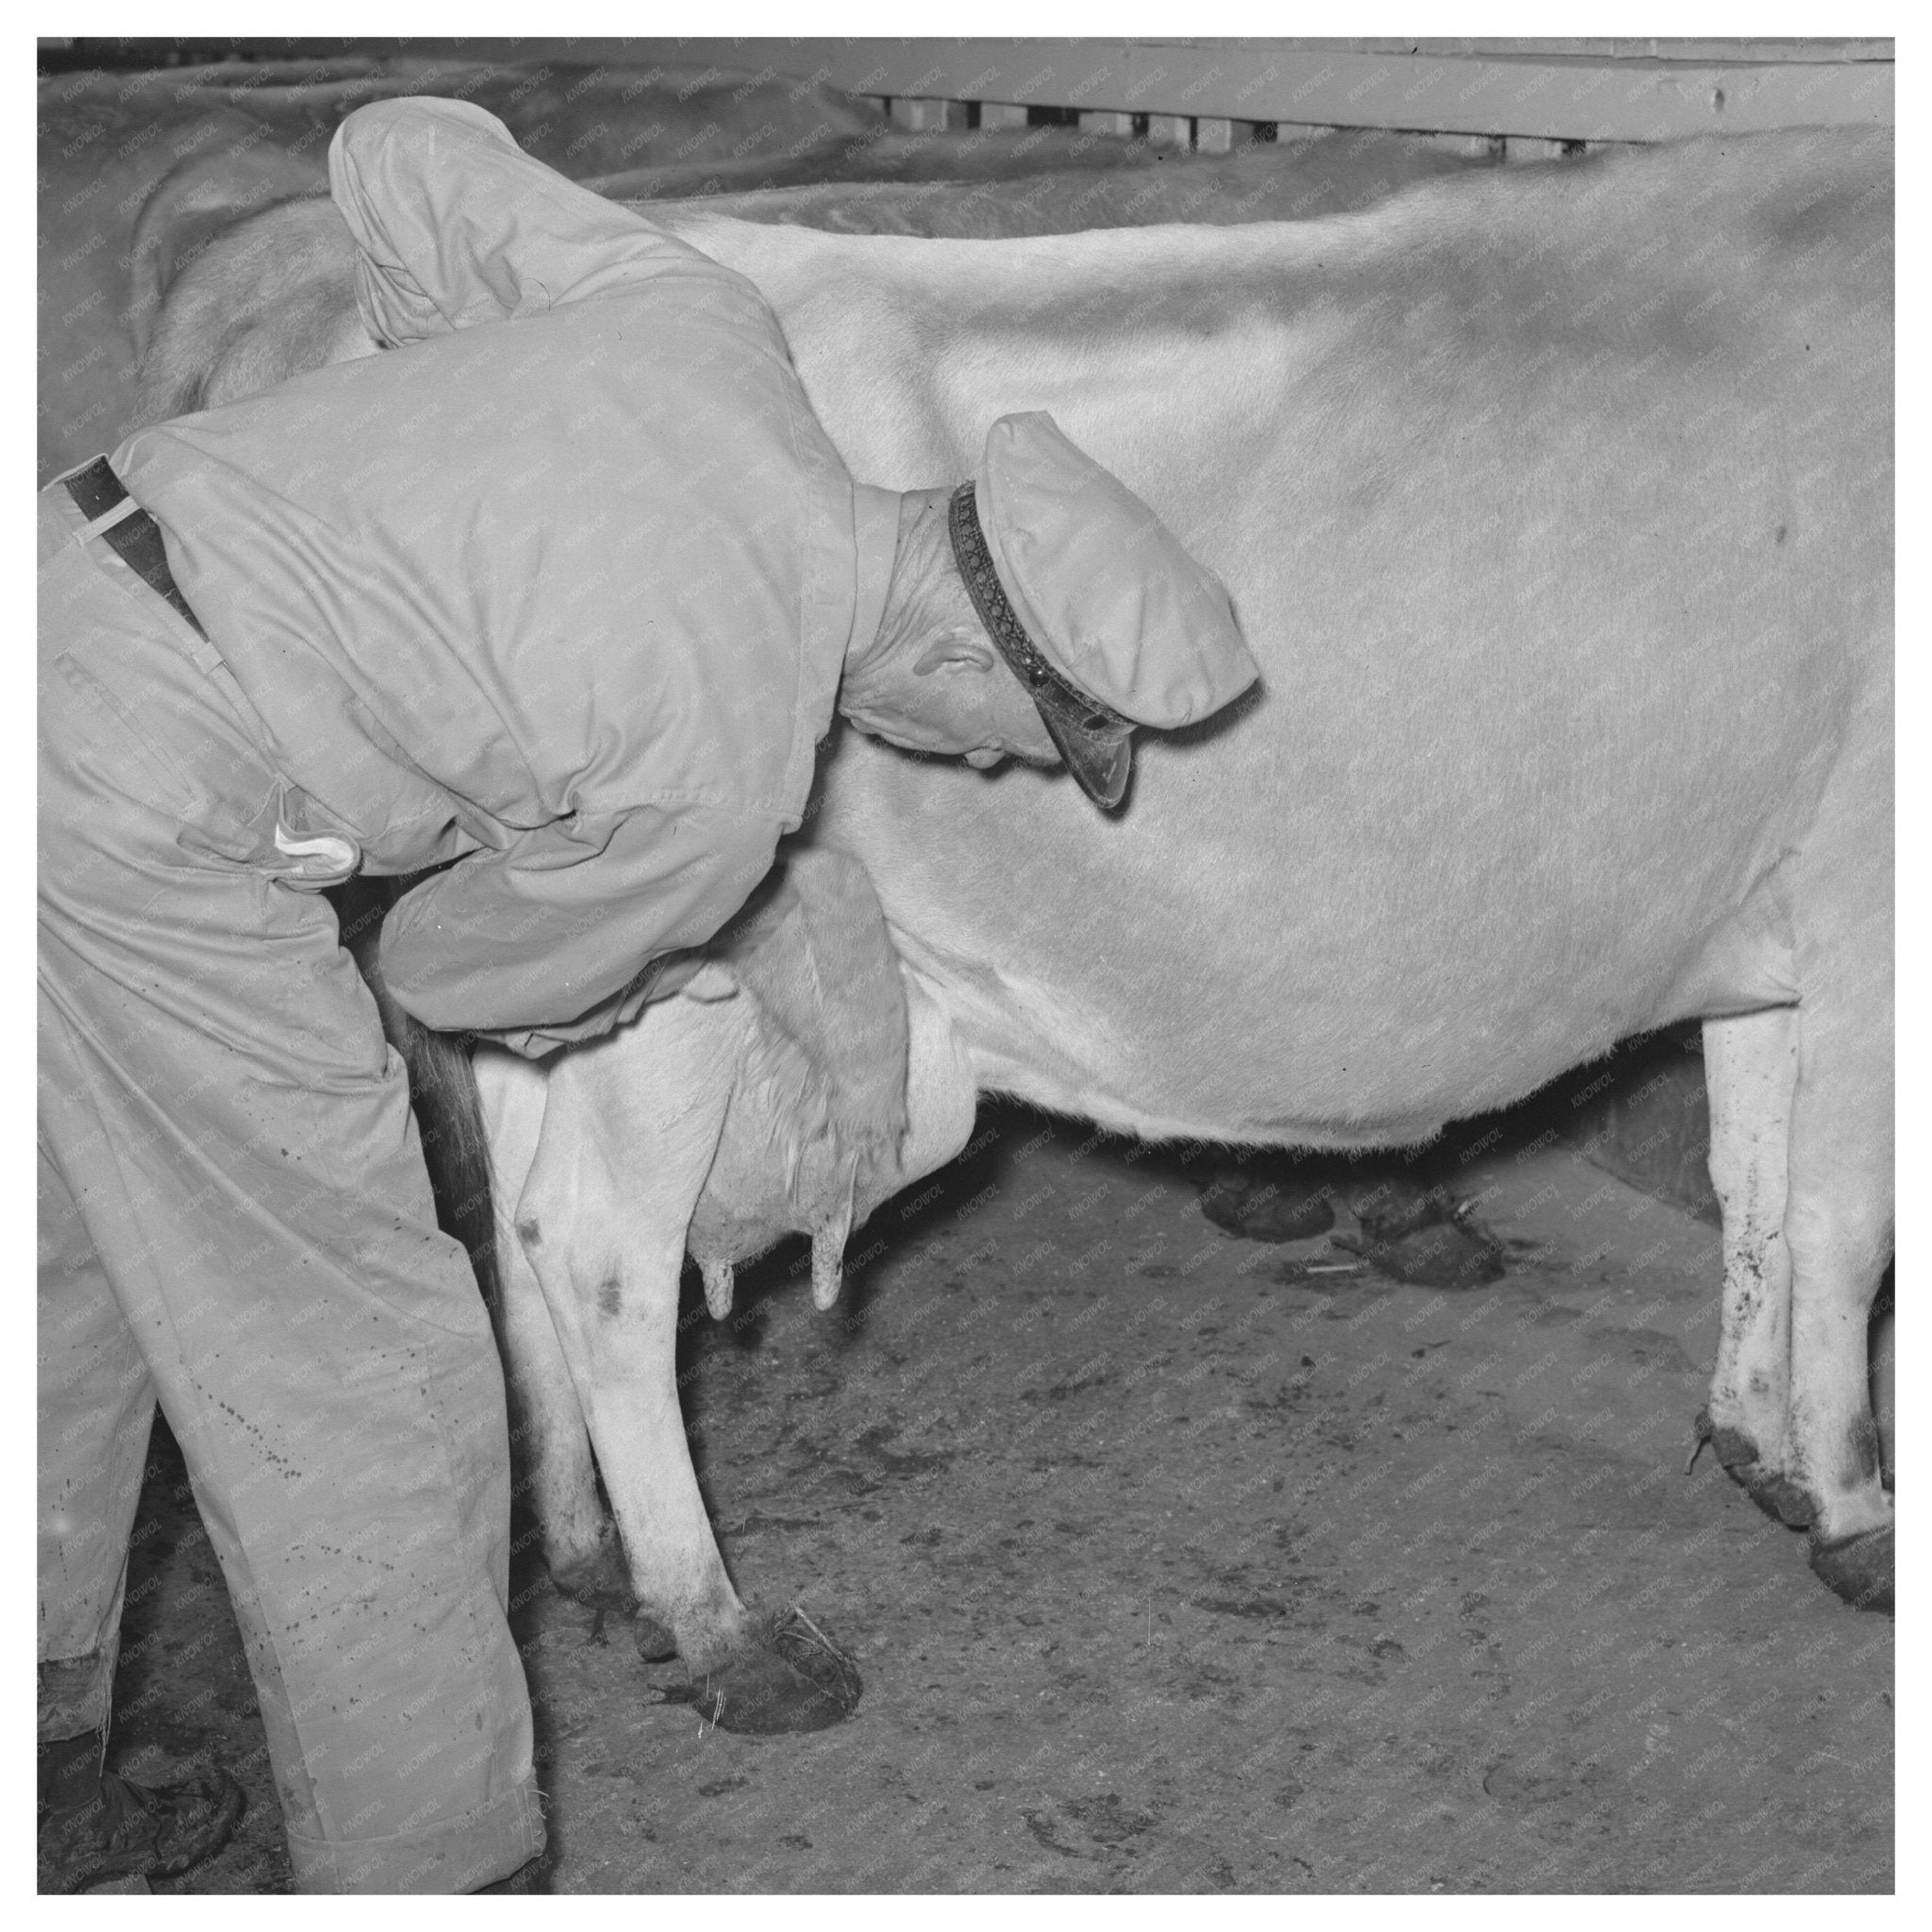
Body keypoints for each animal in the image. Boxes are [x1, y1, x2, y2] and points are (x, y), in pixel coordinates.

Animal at [140, 125, 1901, 1723]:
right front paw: (1860, 1511)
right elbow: (1848, 1224)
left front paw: (1757, 1438)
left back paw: (580, 1550)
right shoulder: (1874, 913)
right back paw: (718, 1626)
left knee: (513, 1220)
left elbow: (1753, 1184)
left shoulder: (1780, 917)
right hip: (669, 958)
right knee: (598, 1253)